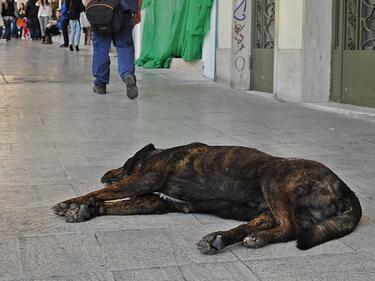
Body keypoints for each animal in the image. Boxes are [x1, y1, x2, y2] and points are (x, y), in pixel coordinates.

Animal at [51, 142, 362, 254]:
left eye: (122, 163)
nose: (105, 173)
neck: (156, 154)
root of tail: (344, 185)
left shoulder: (145, 179)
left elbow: (104, 193)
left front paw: (72, 203)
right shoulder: (156, 201)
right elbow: (113, 203)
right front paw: (86, 209)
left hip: (272, 179)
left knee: (290, 228)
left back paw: (255, 239)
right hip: (269, 209)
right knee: (260, 225)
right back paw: (220, 239)